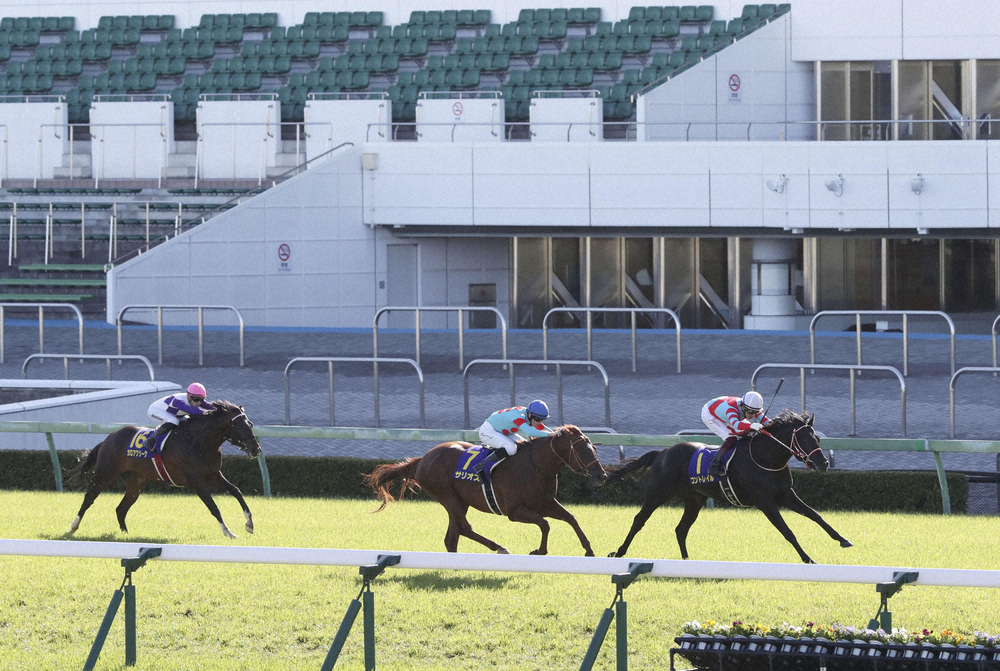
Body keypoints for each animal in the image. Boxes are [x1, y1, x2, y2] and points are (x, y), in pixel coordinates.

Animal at [64, 400, 264, 540]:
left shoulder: (213, 476)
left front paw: (249, 523)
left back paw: (126, 535)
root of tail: (109, 437)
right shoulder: (196, 481)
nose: (256, 449)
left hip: (136, 483)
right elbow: (213, 507)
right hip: (106, 473)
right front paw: (228, 532)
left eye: (251, 424)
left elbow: (236, 491)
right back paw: (73, 526)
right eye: (240, 425)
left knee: (121, 508)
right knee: (89, 498)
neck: (199, 442)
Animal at [364, 426, 604, 556]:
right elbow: (544, 524)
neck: (536, 465)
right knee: (464, 528)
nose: (601, 476)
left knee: (453, 536)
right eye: (583, 451)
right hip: (448, 496)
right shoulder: (514, 511)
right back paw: (499, 547)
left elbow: (571, 518)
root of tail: (422, 458)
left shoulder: (545, 503)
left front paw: (589, 550)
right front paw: (540, 551)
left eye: (594, 448)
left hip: (459, 501)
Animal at [600, 412, 852, 564]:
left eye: (817, 439)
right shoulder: (764, 501)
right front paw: (808, 559)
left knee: (681, 529)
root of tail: (662, 452)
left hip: (694, 501)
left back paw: (687, 561)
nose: (824, 464)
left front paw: (843, 540)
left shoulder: (786, 494)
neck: (765, 457)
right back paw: (619, 552)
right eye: (805, 439)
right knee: (639, 520)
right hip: (657, 493)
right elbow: (787, 530)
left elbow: (815, 515)